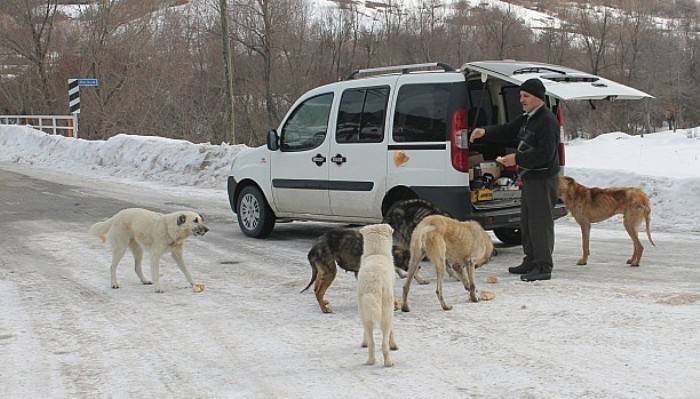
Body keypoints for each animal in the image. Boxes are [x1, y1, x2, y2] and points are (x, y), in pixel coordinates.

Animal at [358, 223, 396, 368]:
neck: (376, 253)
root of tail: (373, 282)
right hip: (387, 311)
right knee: (384, 342)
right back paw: (388, 362)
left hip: (364, 312)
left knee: (372, 342)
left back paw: (370, 361)